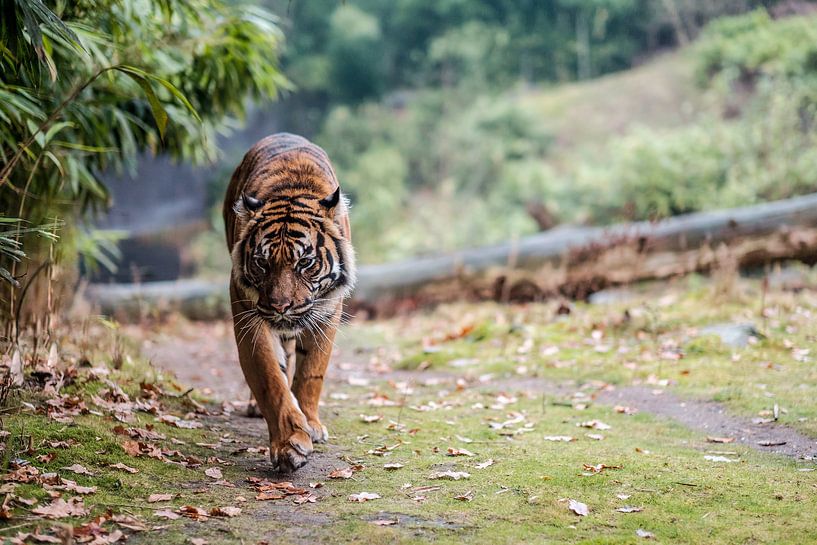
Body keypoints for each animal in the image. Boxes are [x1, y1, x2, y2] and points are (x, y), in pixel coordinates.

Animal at [222, 133, 356, 472]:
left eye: (305, 262)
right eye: (262, 263)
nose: (281, 307)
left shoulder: (326, 313)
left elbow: (311, 373)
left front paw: (311, 424)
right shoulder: (249, 315)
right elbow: (270, 378)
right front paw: (290, 444)